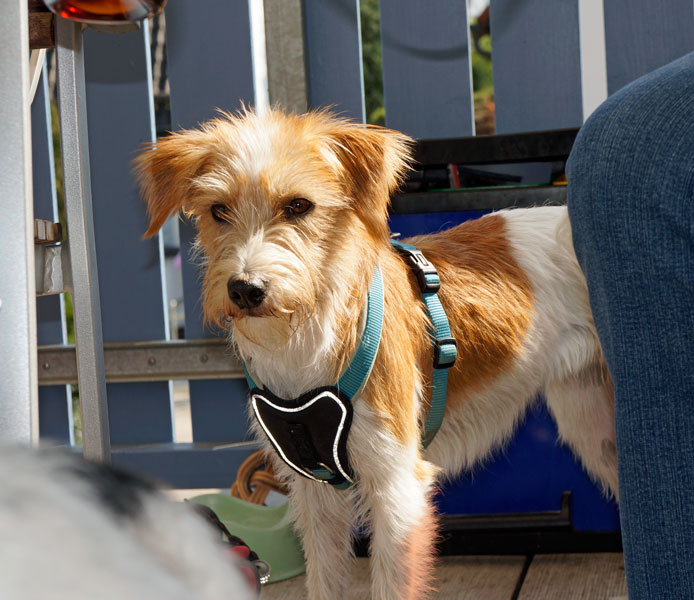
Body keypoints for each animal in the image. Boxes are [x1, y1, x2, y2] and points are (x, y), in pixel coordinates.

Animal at [135, 108, 618, 600]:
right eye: (219, 210)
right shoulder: (315, 492)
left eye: (299, 206)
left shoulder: (397, 487)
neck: (308, 343)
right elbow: (325, 581)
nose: (245, 289)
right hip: (594, 427)